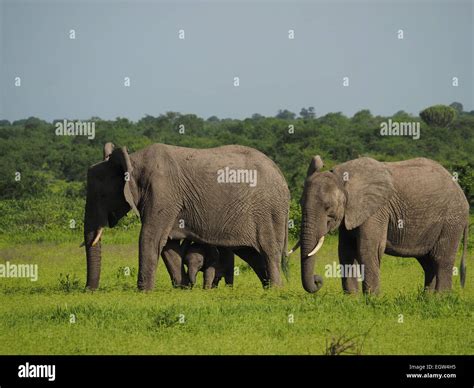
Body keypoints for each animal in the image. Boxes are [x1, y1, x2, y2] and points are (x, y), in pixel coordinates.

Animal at [84, 142, 288, 292]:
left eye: (102, 195)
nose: (89, 291)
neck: (133, 161)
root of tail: (280, 173)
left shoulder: (162, 194)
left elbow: (150, 237)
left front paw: (143, 292)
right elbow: (168, 245)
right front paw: (182, 289)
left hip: (269, 211)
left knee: (269, 252)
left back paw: (275, 291)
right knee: (251, 254)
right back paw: (268, 289)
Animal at [298, 155, 468, 294]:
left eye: (328, 208)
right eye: (300, 204)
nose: (317, 280)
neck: (343, 178)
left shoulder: (377, 210)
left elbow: (367, 249)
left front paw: (372, 300)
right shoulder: (352, 212)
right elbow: (346, 251)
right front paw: (352, 299)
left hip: (452, 219)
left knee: (441, 259)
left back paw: (440, 299)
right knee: (427, 261)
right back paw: (426, 299)